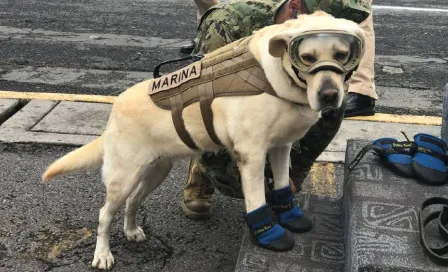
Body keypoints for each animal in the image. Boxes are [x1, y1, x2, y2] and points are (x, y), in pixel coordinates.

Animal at [42, 11, 364, 268]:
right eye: (307, 57)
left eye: (342, 55)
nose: (329, 96)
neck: (278, 77)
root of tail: (114, 110)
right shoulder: (251, 155)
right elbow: (258, 200)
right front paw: (268, 234)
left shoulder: (281, 148)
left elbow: (283, 186)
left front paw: (291, 216)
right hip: (124, 176)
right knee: (103, 215)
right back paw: (102, 254)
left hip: (155, 170)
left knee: (133, 202)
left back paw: (132, 231)